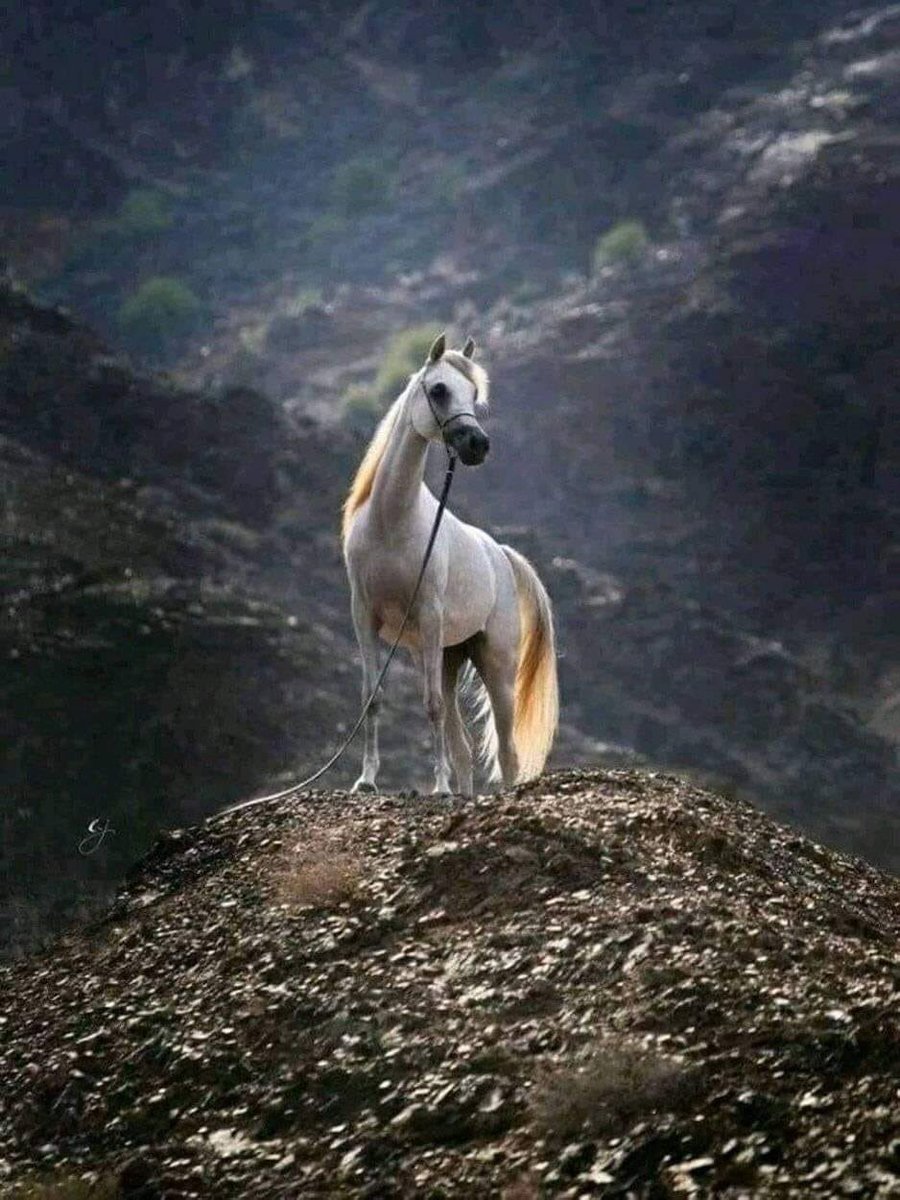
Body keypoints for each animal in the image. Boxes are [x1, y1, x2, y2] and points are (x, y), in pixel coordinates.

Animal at [341, 332, 559, 797]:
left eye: (475, 394)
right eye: (439, 389)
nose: (477, 445)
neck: (391, 523)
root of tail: (501, 555)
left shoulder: (428, 615)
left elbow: (432, 707)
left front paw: (437, 788)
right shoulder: (364, 616)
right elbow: (373, 696)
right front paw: (366, 780)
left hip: (494, 663)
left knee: (506, 750)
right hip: (445, 656)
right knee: (462, 748)